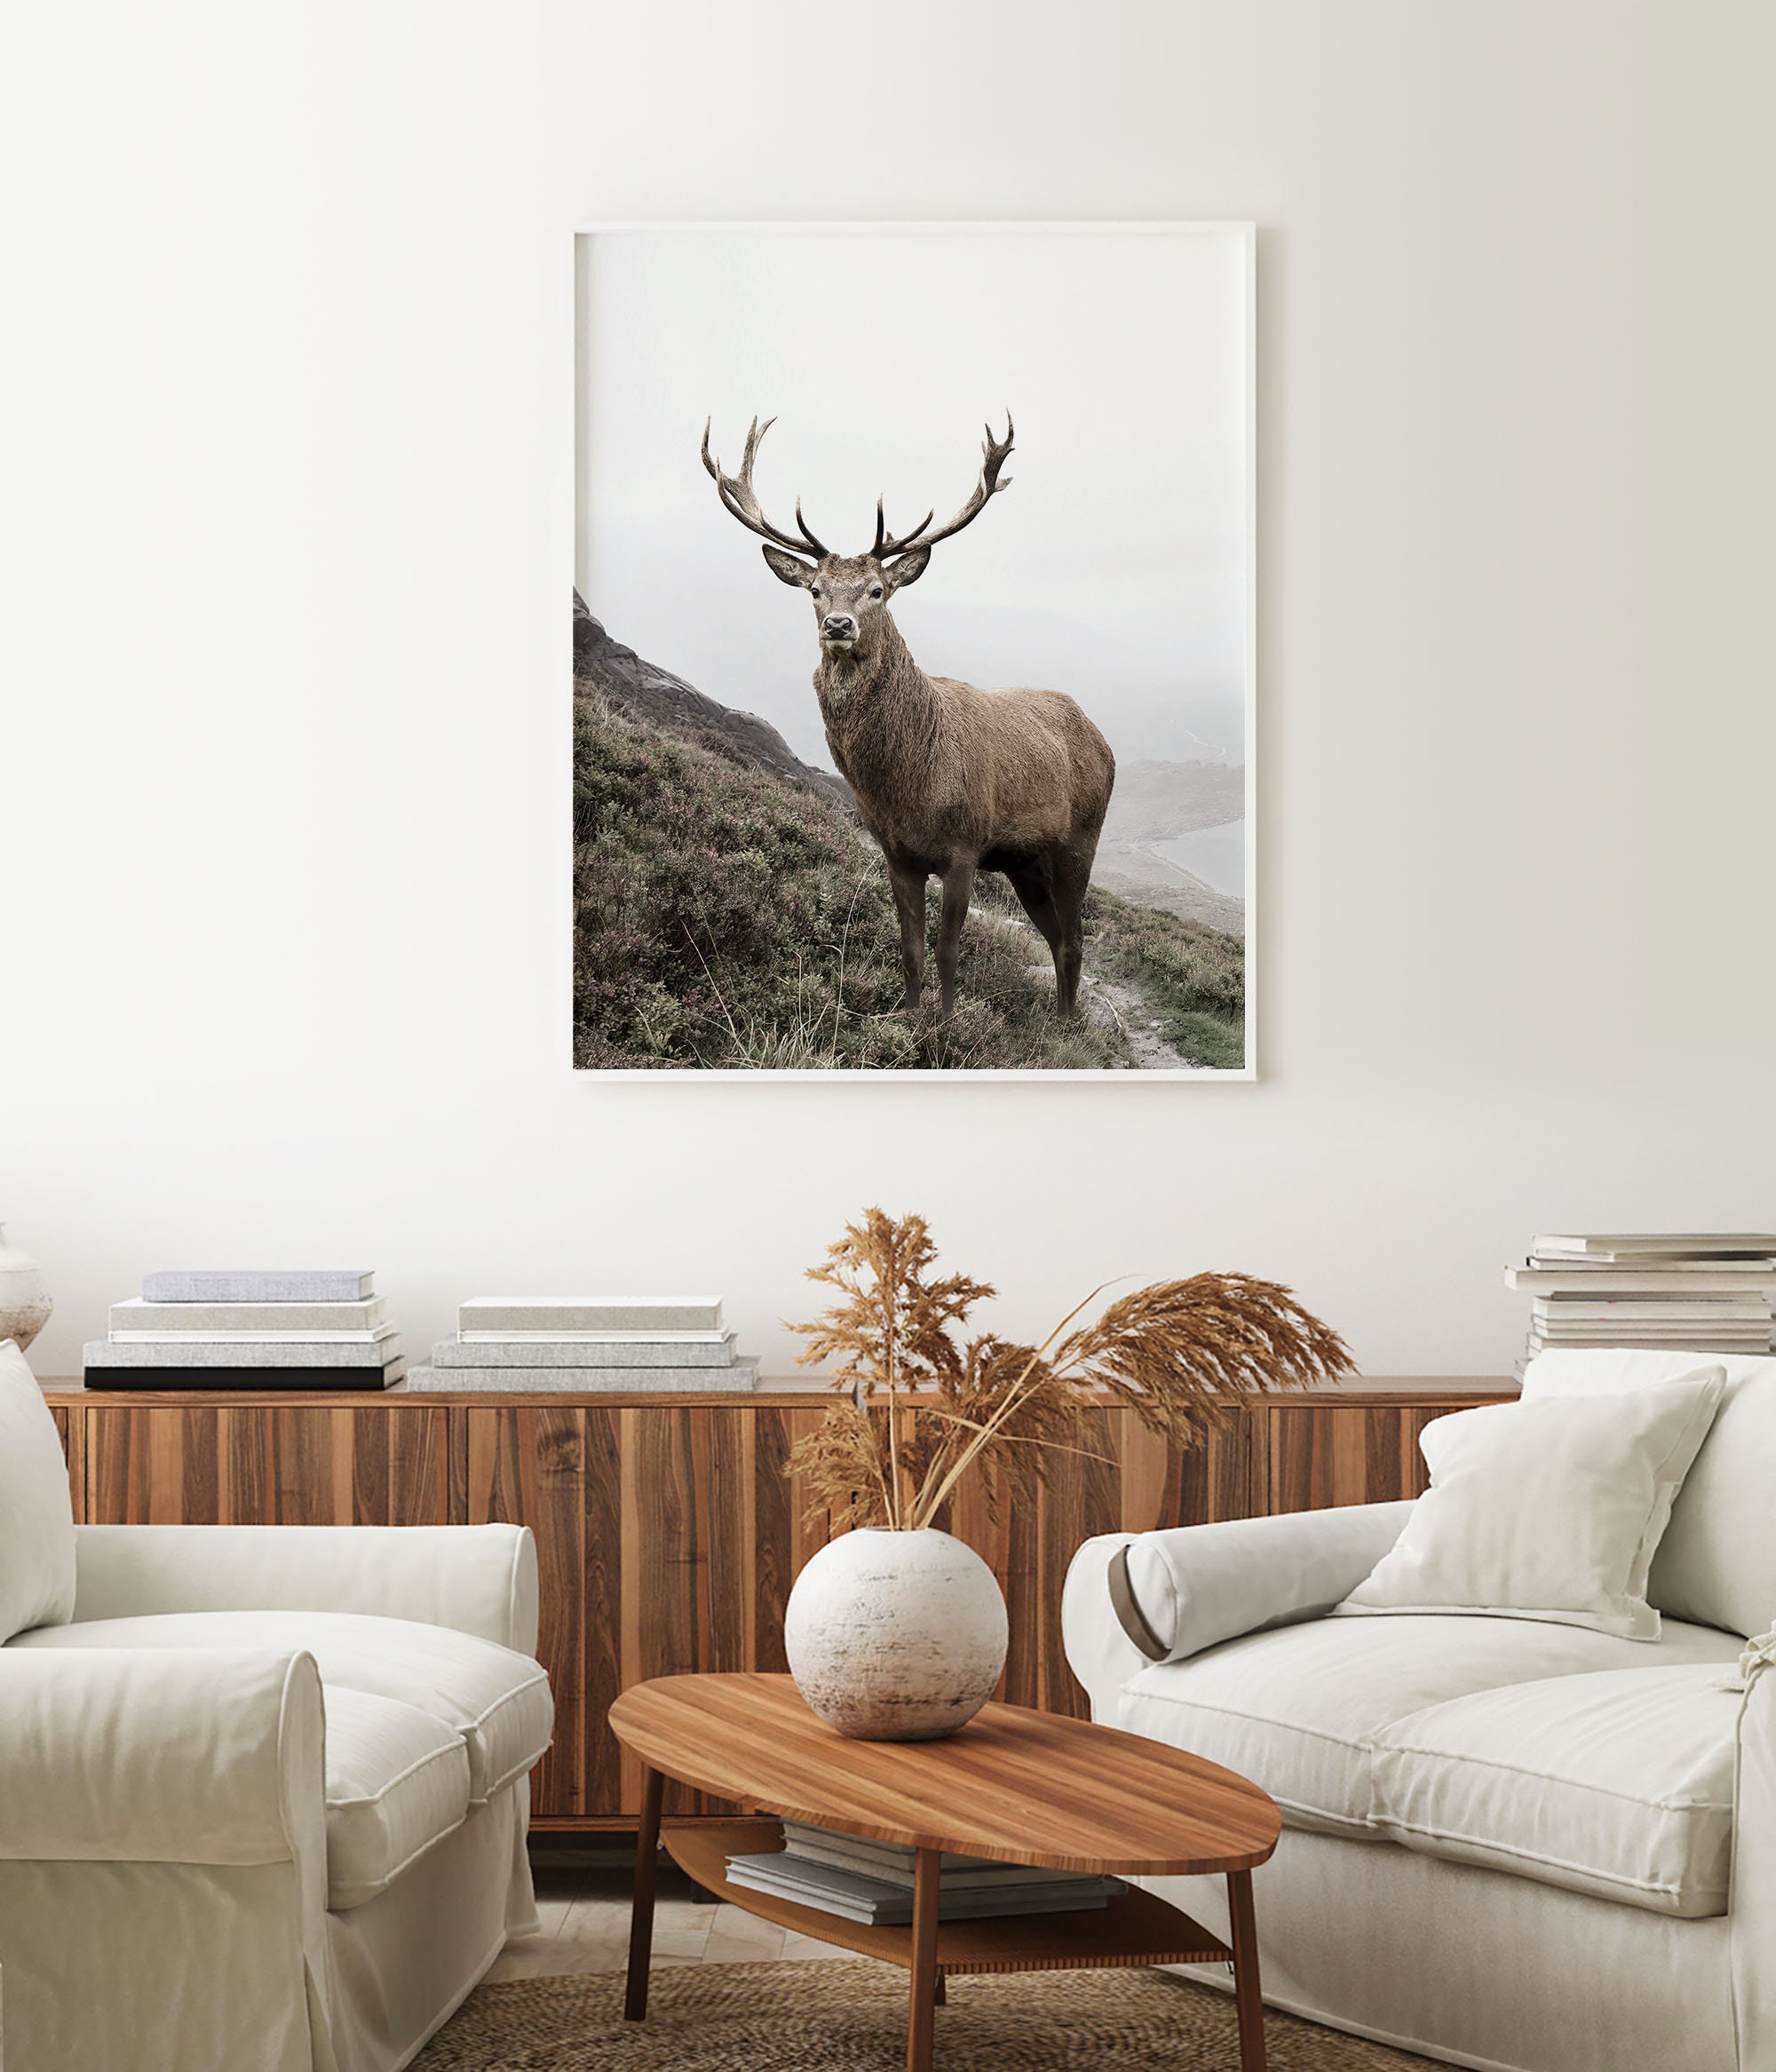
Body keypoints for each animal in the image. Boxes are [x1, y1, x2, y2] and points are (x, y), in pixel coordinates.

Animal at [703, 413, 1115, 1019]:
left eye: (878, 590)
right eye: (815, 590)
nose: (839, 625)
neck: (908, 788)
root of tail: (1103, 740)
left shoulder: (965, 848)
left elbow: (947, 950)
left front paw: (944, 1025)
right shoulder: (896, 854)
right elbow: (911, 950)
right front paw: (912, 1017)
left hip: (1079, 841)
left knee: (1075, 938)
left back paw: (1065, 1025)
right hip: (1024, 863)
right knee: (1057, 936)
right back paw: (1059, 1020)